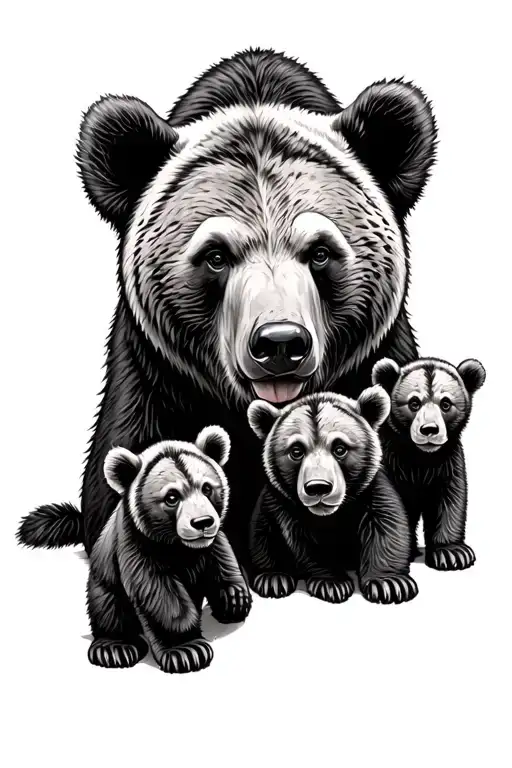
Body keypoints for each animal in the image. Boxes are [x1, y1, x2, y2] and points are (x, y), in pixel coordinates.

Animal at [19, 428, 252, 673]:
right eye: (171, 497)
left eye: (207, 488)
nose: (203, 522)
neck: (178, 545)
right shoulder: (137, 543)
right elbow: (158, 592)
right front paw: (186, 649)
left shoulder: (210, 544)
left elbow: (222, 559)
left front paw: (234, 599)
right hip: (104, 582)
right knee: (108, 608)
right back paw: (115, 647)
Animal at [247, 388, 419, 605]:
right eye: (296, 451)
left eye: (340, 448)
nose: (318, 487)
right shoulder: (286, 505)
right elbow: (305, 543)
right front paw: (332, 583)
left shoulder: (370, 489)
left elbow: (386, 524)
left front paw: (389, 583)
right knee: (262, 535)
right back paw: (273, 578)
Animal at [371, 357, 486, 570]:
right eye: (414, 402)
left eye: (446, 403)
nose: (430, 429)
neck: (420, 457)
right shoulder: (388, 461)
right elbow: (387, 503)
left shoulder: (447, 461)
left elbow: (449, 498)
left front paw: (451, 552)